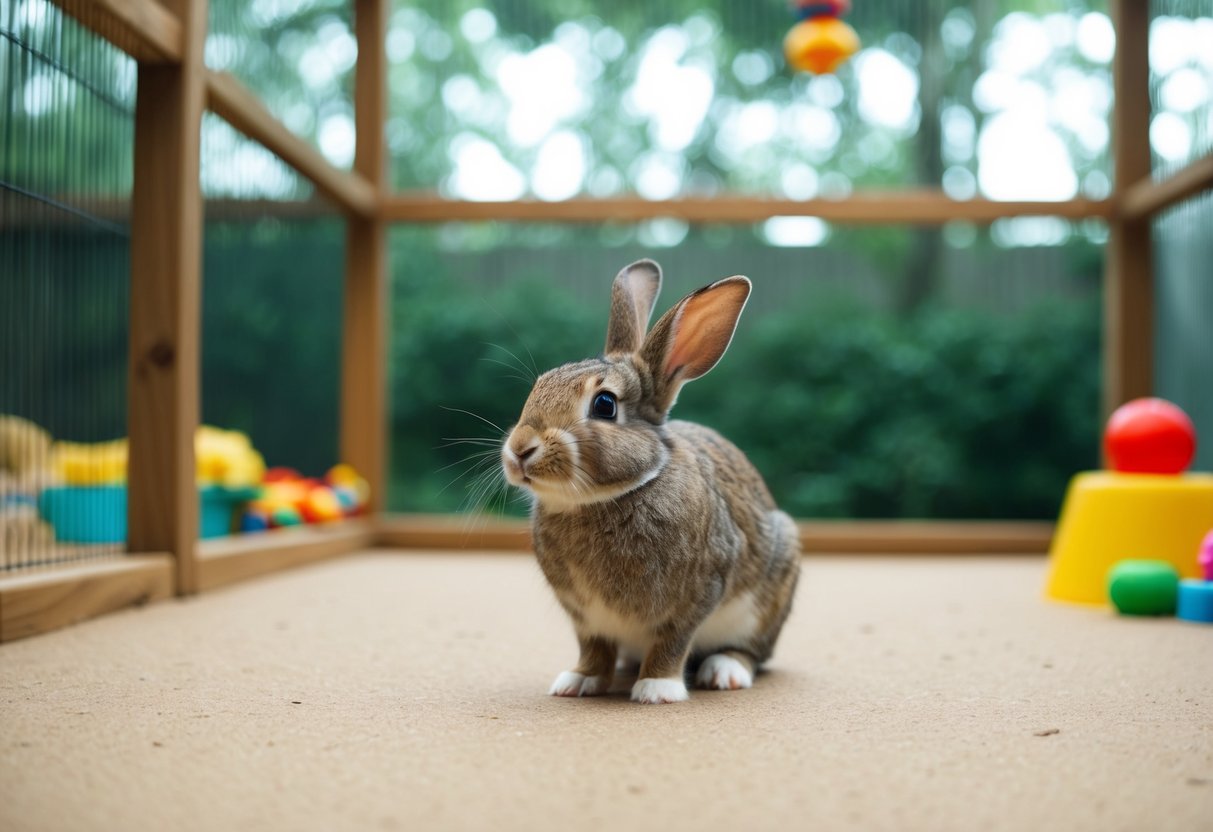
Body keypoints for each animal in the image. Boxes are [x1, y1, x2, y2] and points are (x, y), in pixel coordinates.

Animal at [501, 259, 801, 704]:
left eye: (604, 405)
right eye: (538, 386)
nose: (520, 449)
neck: (603, 498)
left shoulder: (695, 596)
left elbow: (671, 642)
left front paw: (658, 689)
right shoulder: (585, 617)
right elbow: (593, 647)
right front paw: (578, 681)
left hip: (768, 596)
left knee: (751, 653)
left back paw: (724, 672)